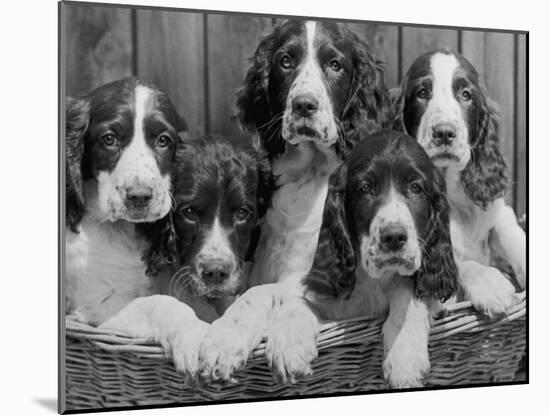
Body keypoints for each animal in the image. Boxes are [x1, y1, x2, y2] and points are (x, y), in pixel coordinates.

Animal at [66, 77, 188, 324]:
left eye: (163, 140)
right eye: (109, 139)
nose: (139, 197)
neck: (120, 229)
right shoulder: (97, 302)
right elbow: (158, 305)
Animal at [201, 21, 394, 382]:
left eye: (335, 64)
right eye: (285, 61)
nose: (304, 105)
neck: (310, 175)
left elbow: (265, 294)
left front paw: (264, 340)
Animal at [392, 48, 528, 316]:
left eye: (466, 94)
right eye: (422, 93)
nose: (444, 133)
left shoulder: (496, 208)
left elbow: (509, 229)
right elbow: (457, 262)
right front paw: (490, 283)